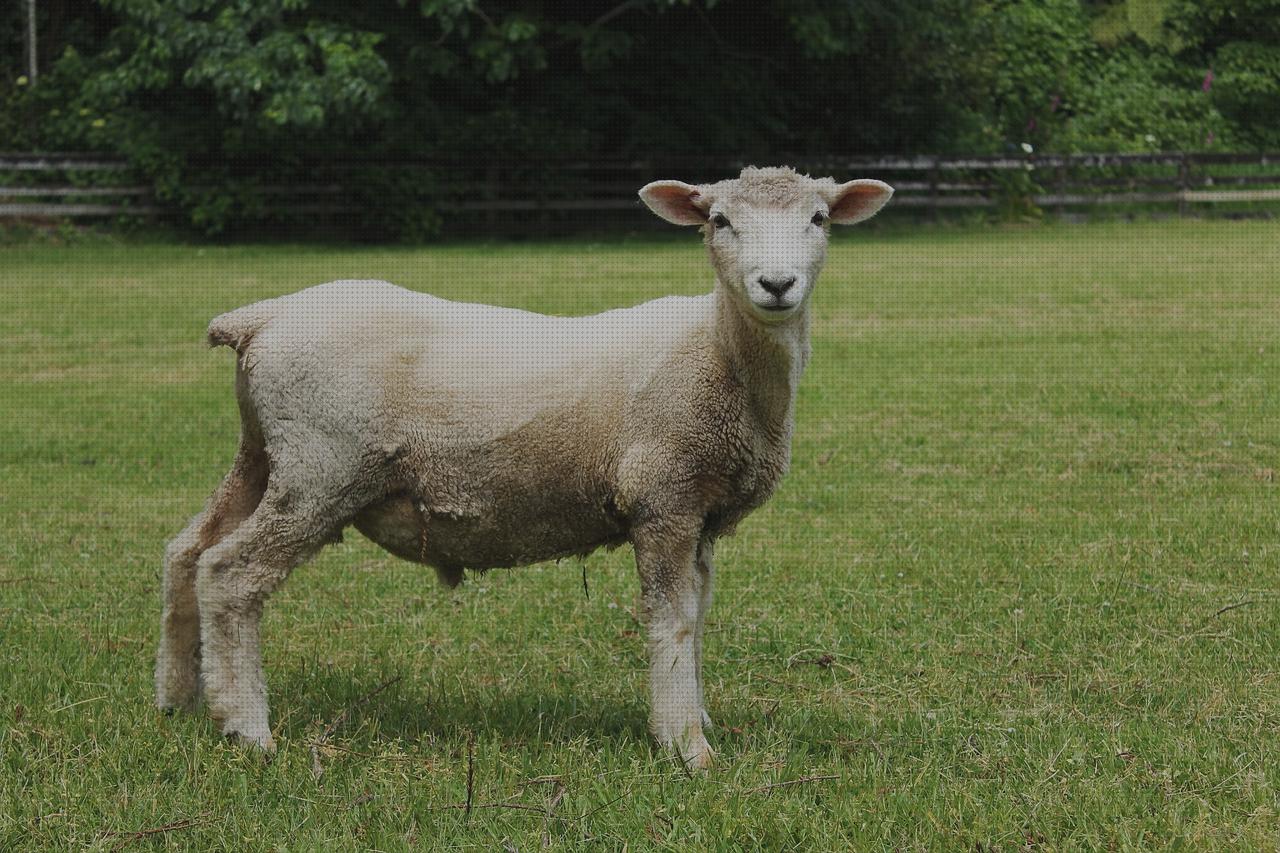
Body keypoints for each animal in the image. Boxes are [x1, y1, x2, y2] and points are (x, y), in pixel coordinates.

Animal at [154, 163, 896, 763]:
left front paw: (698, 717)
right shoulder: (663, 496)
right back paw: (247, 728)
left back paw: (179, 697)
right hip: (321, 467)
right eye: (720, 220)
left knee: (187, 550)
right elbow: (673, 618)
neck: (717, 352)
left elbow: (699, 612)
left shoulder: (703, 512)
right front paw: (686, 746)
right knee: (231, 573)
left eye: (819, 218)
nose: (777, 284)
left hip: (266, 454)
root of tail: (262, 318)